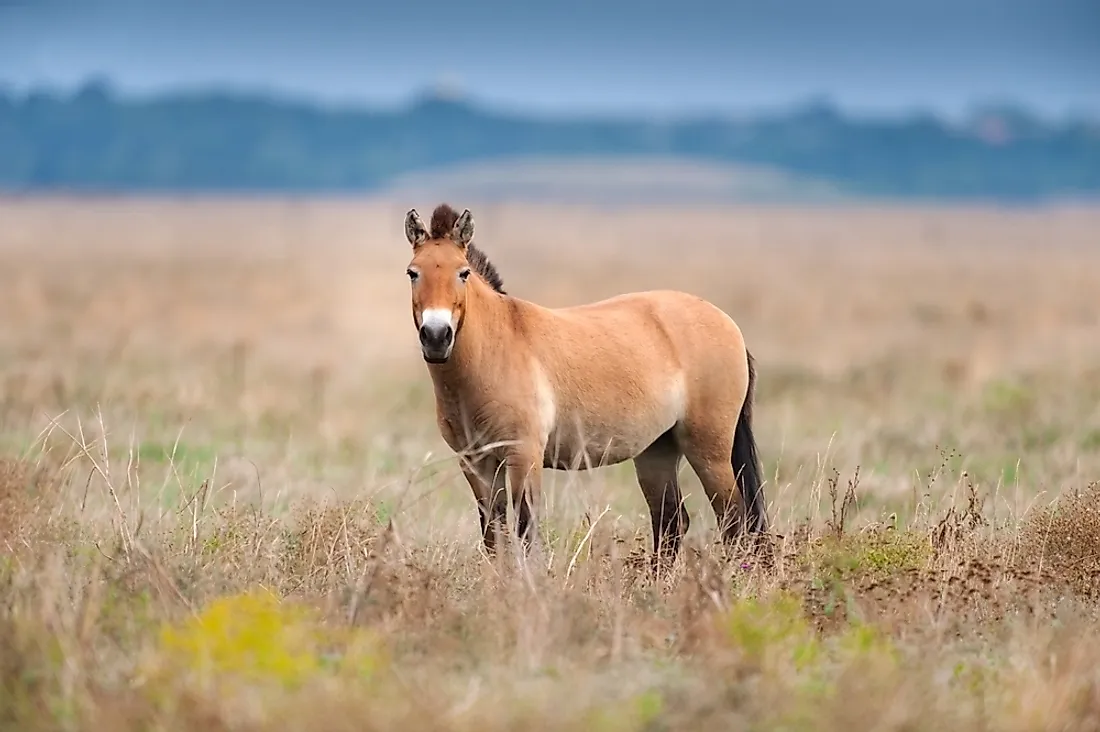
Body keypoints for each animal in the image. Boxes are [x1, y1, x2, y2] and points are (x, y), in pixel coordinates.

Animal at [400, 202, 770, 561]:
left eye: (463, 273)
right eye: (412, 273)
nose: (436, 337)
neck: (496, 350)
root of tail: (728, 324)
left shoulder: (524, 455)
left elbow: (525, 530)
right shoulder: (476, 463)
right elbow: (494, 535)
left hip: (709, 450)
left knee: (734, 520)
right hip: (657, 450)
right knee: (671, 522)